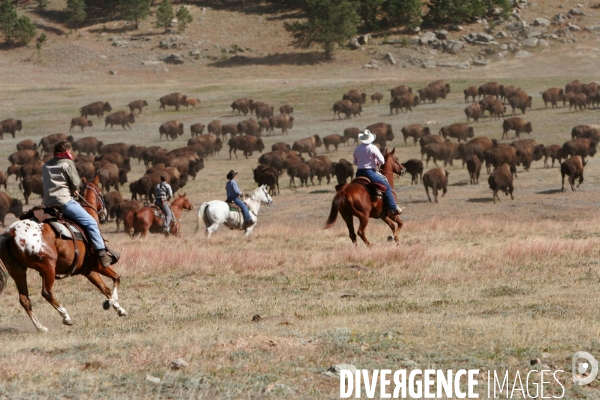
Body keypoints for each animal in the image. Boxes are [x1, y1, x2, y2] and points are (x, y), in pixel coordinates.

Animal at [0, 175, 125, 332]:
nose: (104, 214)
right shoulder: (99, 265)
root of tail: (11, 233)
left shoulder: (88, 270)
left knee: (24, 299)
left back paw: (41, 327)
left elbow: (105, 288)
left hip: (18, 271)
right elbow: (116, 278)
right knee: (46, 293)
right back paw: (66, 317)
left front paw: (120, 309)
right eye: (101, 194)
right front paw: (111, 303)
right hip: (48, 268)